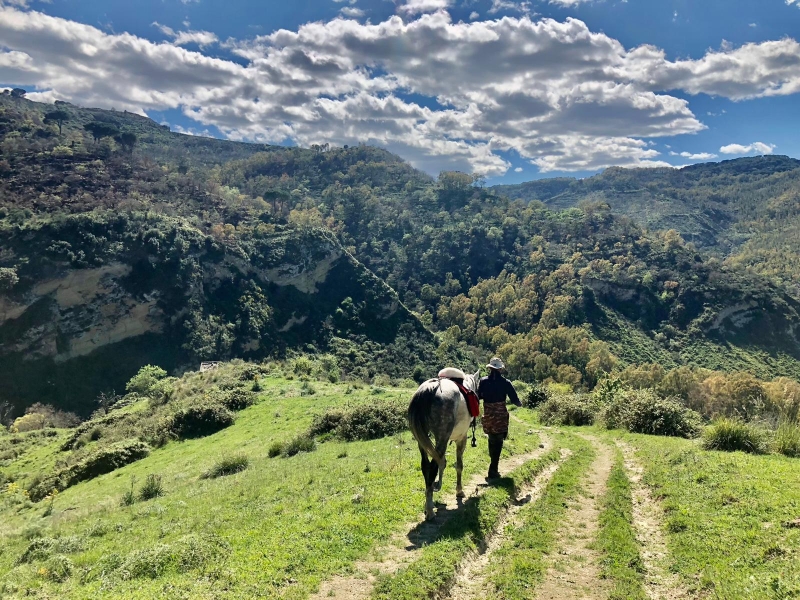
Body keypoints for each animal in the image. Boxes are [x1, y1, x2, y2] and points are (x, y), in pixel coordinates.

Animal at [410, 370, 478, 520]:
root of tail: (430, 389)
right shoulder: (461, 438)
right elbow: (459, 465)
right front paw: (459, 491)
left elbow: (443, 463)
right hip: (442, 437)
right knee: (433, 466)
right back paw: (430, 510)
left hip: (422, 440)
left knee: (426, 466)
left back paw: (428, 502)